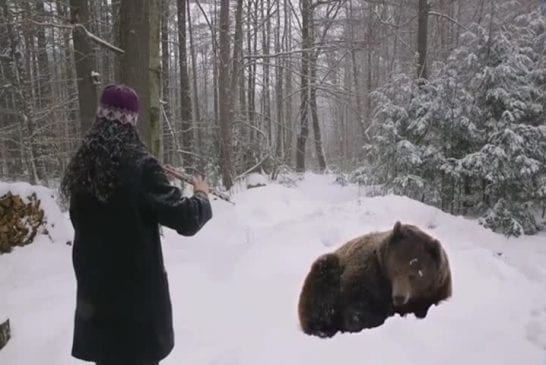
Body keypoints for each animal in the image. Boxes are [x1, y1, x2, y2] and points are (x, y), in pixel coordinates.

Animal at [298, 220, 450, 336]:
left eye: (415, 274)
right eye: (396, 270)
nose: (399, 297)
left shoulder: (436, 291)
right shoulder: (368, 276)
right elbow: (358, 308)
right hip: (326, 275)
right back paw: (322, 329)